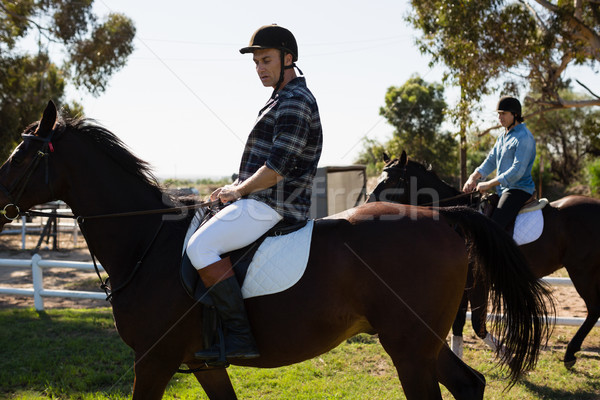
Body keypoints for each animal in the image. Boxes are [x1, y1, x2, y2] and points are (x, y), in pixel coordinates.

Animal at [0, 101, 552, 398]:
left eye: (22, 156)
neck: (145, 241)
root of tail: (442, 218)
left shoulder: (154, 362)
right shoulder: (204, 365)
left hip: (409, 349)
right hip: (420, 343)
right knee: (469, 384)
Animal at [368, 151, 596, 368]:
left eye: (391, 180)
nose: (369, 206)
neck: (456, 220)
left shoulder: (478, 282)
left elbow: (478, 325)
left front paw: (511, 358)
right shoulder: (463, 284)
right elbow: (459, 323)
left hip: (583, 272)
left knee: (594, 310)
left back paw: (570, 354)